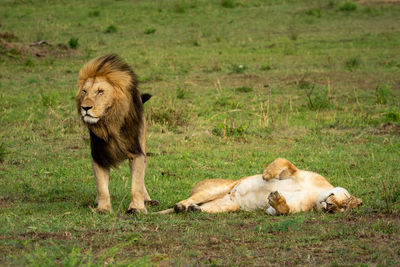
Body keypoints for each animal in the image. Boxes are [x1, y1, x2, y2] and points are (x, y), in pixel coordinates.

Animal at [76, 55, 156, 215]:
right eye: (84, 91)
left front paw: (137, 207)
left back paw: (147, 199)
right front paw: (103, 208)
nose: (85, 108)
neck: (110, 125)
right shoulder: (98, 155)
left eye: (100, 91)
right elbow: (102, 186)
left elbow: (136, 184)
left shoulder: (136, 152)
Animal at [157, 159, 362, 216]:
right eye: (345, 201)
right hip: (217, 189)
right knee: (188, 199)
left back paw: (191, 209)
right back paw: (181, 206)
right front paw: (267, 175)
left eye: (340, 209)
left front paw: (277, 199)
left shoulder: (288, 209)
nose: (329, 206)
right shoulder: (295, 173)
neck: (316, 192)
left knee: (203, 207)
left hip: (227, 206)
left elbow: (283, 209)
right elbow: (284, 162)